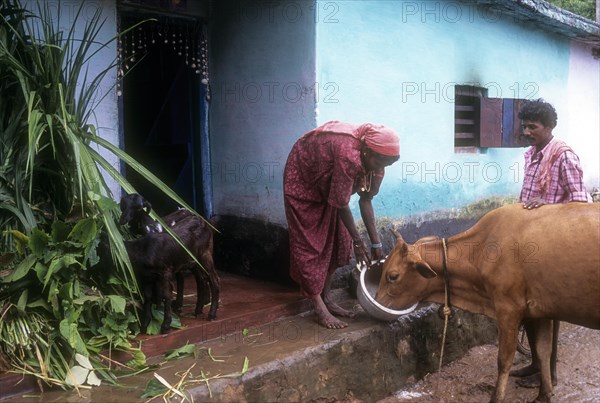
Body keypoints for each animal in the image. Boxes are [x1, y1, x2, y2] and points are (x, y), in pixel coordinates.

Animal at [378, 204, 596, 402]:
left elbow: (504, 360)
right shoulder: (539, 311)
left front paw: (496, 397)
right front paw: (544, 395)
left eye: (392, 276)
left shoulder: (509, 309)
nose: (377, 302)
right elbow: (543, 351)